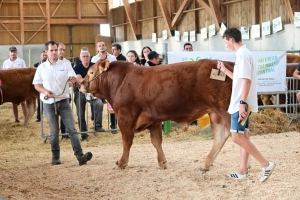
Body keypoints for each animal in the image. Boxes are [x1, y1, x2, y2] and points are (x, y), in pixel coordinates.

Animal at [80, 59, 234, 172]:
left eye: (91, 72)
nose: (80, 84)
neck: (120, 81)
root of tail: (228, 63)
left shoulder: (125, 118)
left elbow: (126, 142)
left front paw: (122, 162)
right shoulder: (153, 121)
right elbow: (156, 141)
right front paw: (162, 161)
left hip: (226, 112)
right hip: (215, 114)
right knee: (221, 136)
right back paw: (206, 164)